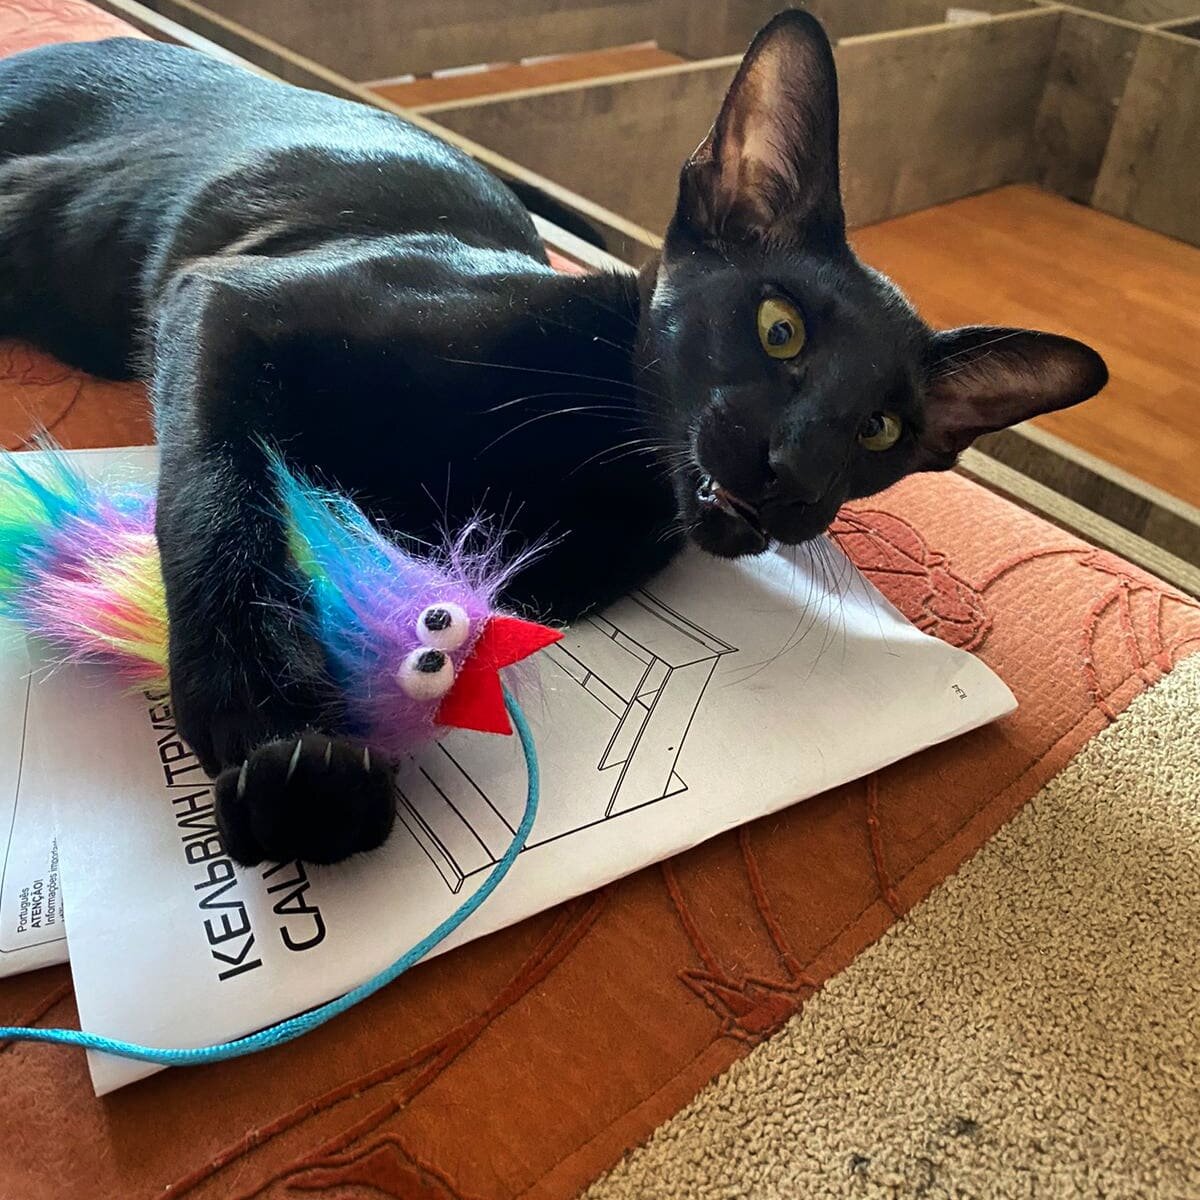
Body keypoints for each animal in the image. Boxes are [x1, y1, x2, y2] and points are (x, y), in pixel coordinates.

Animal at [0, 11, 1106, 865]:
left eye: (881, 430)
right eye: (778, 328)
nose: (796, 472)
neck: (592, 455)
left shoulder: (559, 569)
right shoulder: (226, 300)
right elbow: (221, 492)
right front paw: (279, 730)